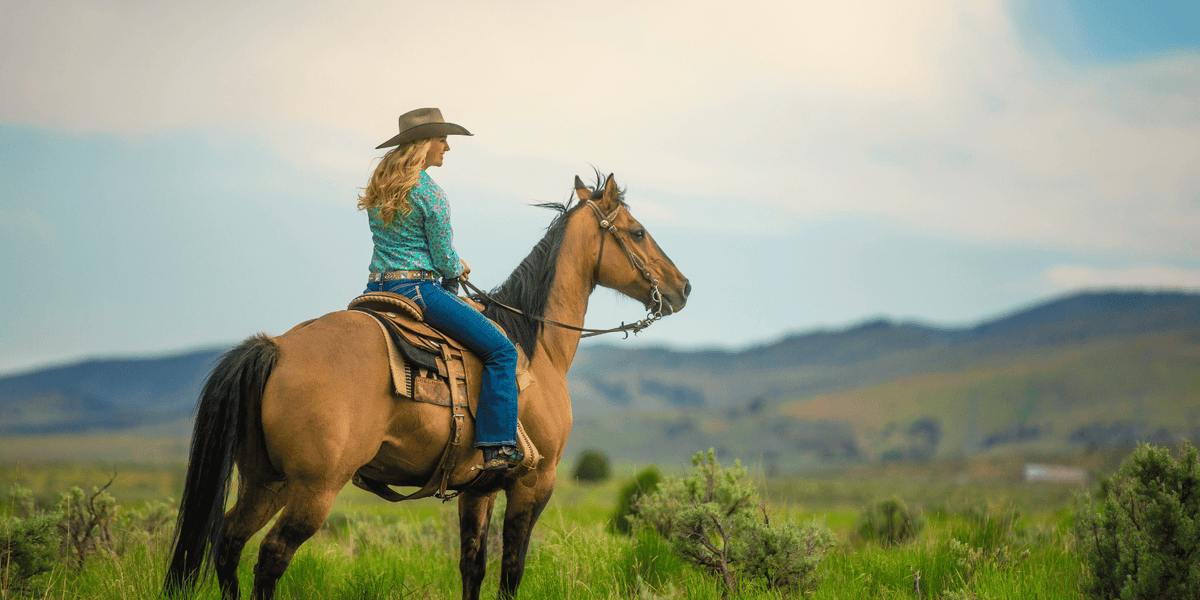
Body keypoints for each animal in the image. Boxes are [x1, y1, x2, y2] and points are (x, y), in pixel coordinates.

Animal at [164, 173, 691, 600]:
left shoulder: (479, 488)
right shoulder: (534, 482)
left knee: (229, 543)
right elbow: (512, 570)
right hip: (314, 488)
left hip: (264, 479)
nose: (683, 287)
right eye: (638, 231)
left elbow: (473, 567)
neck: (535, 349)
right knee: (271, 556)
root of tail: (276, 347)